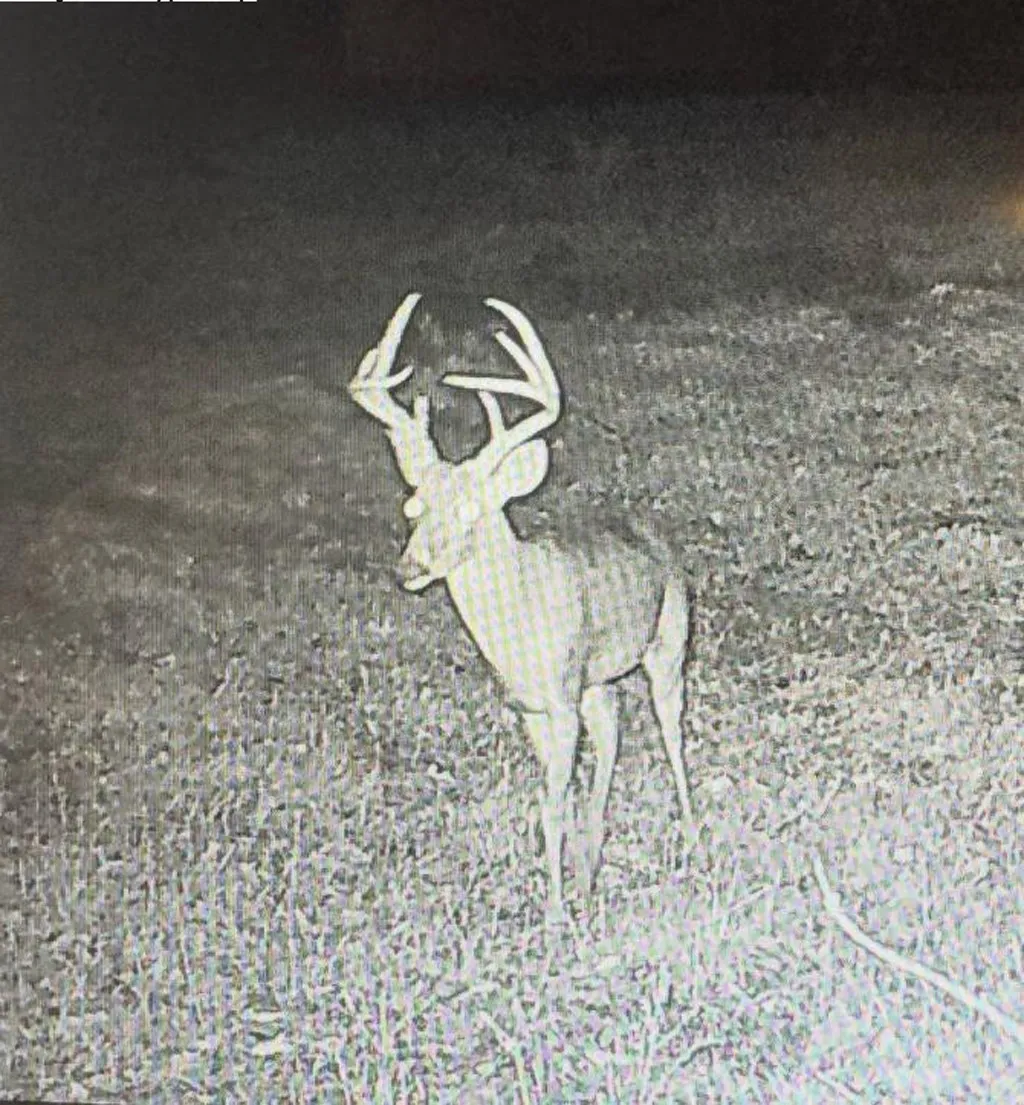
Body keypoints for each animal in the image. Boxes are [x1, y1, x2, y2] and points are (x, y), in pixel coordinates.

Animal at [349, 293, 697, 921]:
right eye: (414, 506)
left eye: (471, 512)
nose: (409, 569)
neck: (520, 619)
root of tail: (655, 532)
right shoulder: (531, 705)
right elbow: (555, 796)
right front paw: (566, 892)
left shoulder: (559, 698)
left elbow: (552, 802)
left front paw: (556, 916)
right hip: (595, 680)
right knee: (613, 730)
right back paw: (591, 866)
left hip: (668, 640)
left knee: (670, 733)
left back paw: (692, 838)